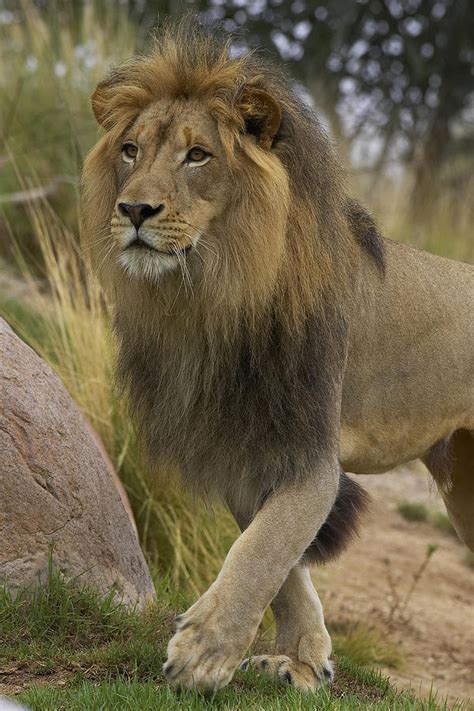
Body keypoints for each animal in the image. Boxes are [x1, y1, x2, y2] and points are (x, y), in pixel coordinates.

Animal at [83, 18, 474, 696]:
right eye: (130, 150)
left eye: (197, 155)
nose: (133, 210)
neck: (212, 297)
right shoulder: (245, 445)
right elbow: (280, 560)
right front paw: (301, 663)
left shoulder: (310, 448)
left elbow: (263, 550)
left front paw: (202, 653)